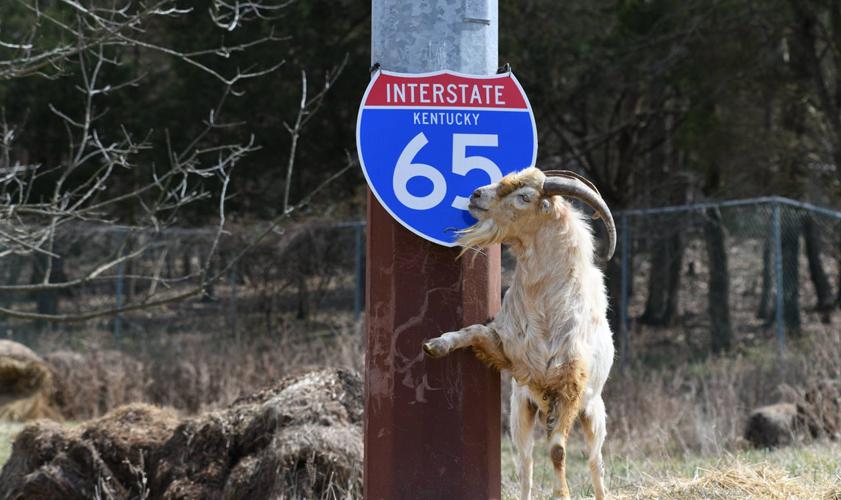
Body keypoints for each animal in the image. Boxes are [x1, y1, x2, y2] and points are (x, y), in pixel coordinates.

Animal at [422, 167, 616, 500]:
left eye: (524, 197)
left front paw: (562, 493)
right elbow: (474, 330)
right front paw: (436, 344)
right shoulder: (512, 354)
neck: (547, 307)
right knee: (526, 461)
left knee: (595, 461)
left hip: (592, 412)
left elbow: (558, 451)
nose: (475, 194)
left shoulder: (569, 386)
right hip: (522, 410)